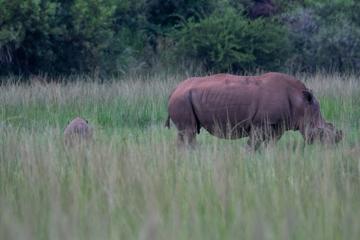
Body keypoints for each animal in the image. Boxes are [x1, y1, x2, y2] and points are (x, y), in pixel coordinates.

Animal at [165, 71, 342, 150]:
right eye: (320, 133)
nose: (328, 150)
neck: (302, 103)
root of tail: (174, 90)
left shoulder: (277, 124)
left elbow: (271, 144)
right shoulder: (260, 123)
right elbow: (253, 144)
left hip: (183, 97)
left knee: (185, 133)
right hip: (182, 99)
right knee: (189, 132)